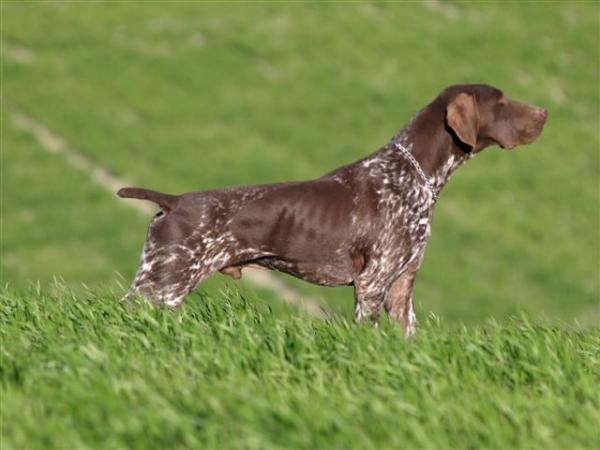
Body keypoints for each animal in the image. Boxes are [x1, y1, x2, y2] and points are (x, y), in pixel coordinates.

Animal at [118, 84, 548, 336]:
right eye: (502, 101)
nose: (544, 113)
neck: (415, 172)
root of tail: (173, 202)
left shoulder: (402, 285)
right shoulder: (373, 282)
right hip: (164, 284)